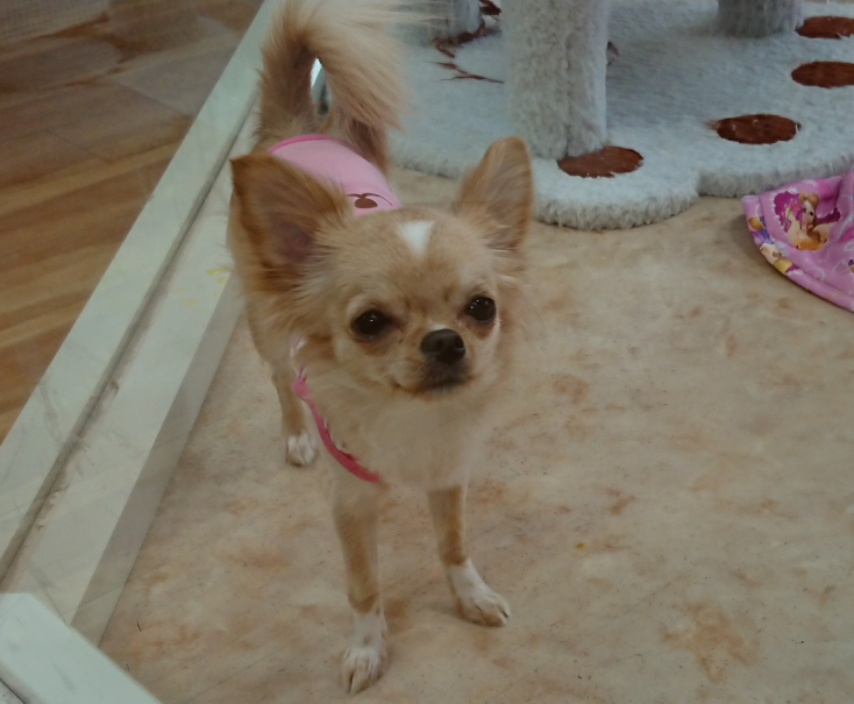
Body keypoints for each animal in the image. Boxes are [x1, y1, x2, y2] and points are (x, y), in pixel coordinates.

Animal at [228, 0, 534, 692]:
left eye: (482, 309)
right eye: (369, 323)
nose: (446, 341)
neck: (410, 419)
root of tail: (297, 129)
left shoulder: (450, 477)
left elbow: (453, 545)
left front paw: (469, 595)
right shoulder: (350, 506)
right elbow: (364, 586)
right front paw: (368, 648)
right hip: (266, 324)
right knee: (281, 378)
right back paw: (296, 434)